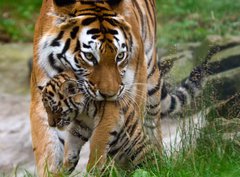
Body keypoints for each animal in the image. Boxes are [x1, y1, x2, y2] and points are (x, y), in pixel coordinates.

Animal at [29, 0, 206, 176]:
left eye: (120, 56)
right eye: (89, 56)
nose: (110, 95)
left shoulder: (125, 100)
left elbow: (105, 138)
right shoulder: (42, 102)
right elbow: (50, 148)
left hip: (151, 83)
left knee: (151, 130)